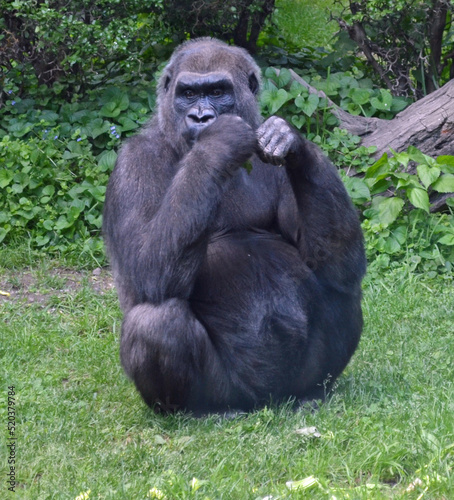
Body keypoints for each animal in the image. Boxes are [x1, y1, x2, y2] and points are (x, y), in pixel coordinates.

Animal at [102, 38, 366, 414]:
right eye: (188, 93)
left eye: (217, 91)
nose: (201, 116)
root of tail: (264, 402)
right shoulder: (131, 163)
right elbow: (145, 273)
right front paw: (219, 142)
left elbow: (336, 260)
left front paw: (291, 141)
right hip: (229, 391)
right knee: (155, 320)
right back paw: (198, 411)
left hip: (289, 386)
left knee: (342, 284)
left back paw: (311, 392)